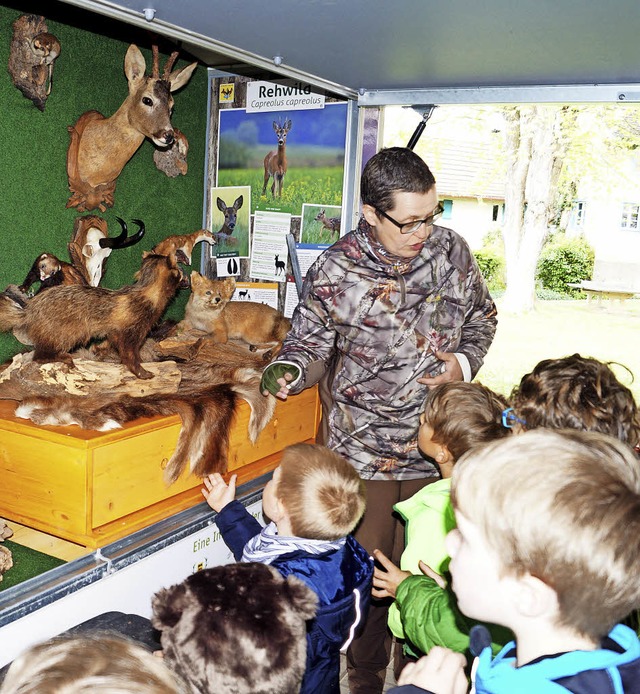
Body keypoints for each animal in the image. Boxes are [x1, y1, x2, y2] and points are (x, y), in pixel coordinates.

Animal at [0, 251, 185, 380]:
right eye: (180, 270)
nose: (185, 279)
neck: (146, 297)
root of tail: (29, 310)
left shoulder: (116, 334)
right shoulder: (131, 331)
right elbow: (130, 355)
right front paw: (143, 373)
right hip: (64, 335)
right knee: (39, 355)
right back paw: (65, 358)